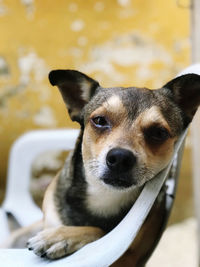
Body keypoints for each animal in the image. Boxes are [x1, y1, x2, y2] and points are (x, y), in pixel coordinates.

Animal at [1, 69, 200, 267]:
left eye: (158, 132)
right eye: (99, 120)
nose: (120, 158)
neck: (104, 195)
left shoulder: (130, 254)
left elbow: (99, 231)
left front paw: (60, 237)